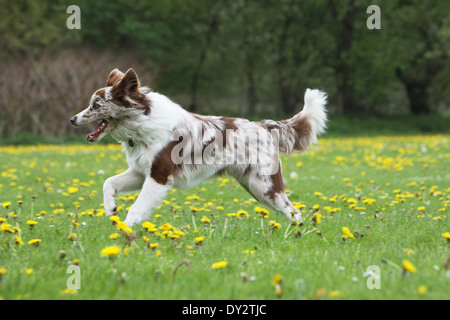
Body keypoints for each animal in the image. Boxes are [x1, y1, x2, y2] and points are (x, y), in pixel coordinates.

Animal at [72, 68, 328, 226]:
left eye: (96, 105)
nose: (72, 119)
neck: (141, 122)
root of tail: (265, 126)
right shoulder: (140, 172)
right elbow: (108, 182)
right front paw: (110, 208)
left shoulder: (159, 176)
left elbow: (137, 207)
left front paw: (125, 232)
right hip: (255, 186)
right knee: (292, 210)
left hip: (264, 186)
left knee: (293, 210)